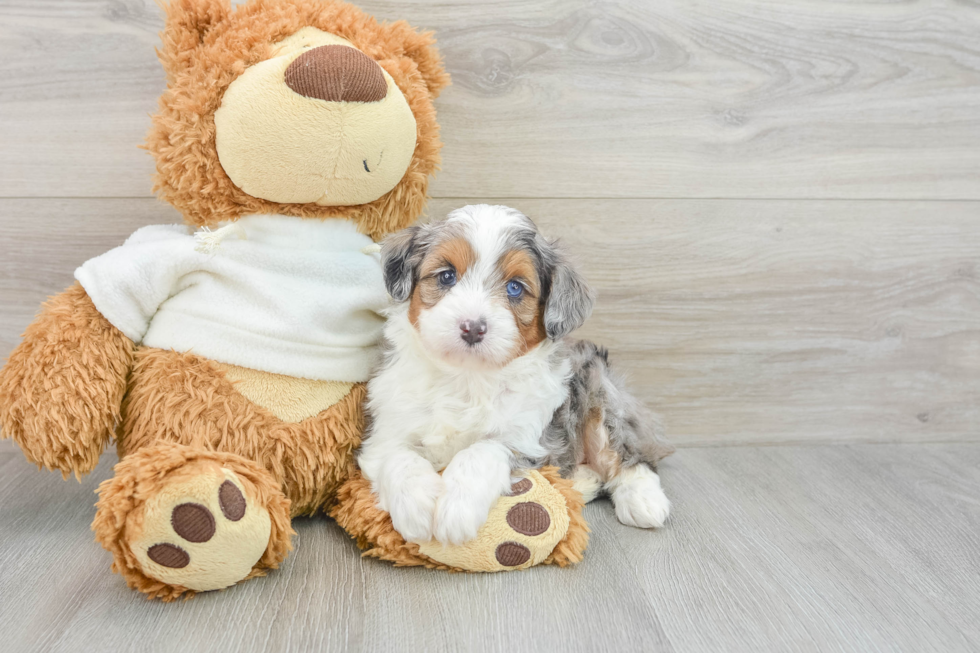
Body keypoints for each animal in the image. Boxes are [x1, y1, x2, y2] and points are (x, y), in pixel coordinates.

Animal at [360, 204, 672, 544]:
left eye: (514, 288)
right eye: (446, 276)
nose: (472, 327)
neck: (467, 378)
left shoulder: (529, 440)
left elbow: (481, 451)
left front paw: (457, 510)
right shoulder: (386, 428)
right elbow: (397, 456)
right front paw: (416, 506)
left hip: (600, 391)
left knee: (631, 454)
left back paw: (643, 501)